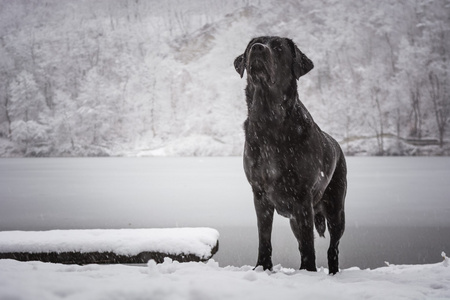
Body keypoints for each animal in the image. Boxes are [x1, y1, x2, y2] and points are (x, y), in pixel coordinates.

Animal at [234, 37, 346, 274]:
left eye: (277, 47)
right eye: (252, 44)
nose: (257, 48)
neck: (268, 118)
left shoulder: (302, 196)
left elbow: (309, 243)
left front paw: (308, 271)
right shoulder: (260, 194)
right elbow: (264, 237)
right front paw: (262, 267)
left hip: (336, 210)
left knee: (333, 248)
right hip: (297, 217)